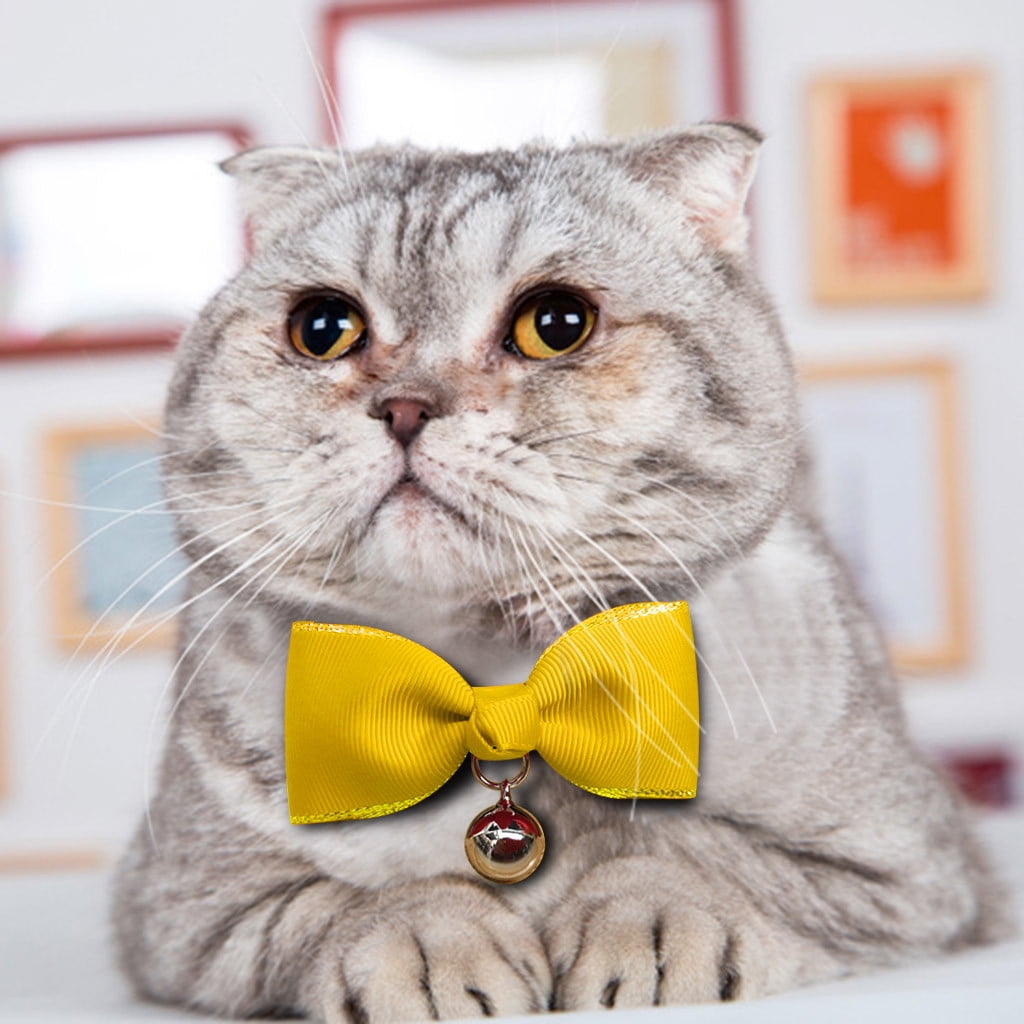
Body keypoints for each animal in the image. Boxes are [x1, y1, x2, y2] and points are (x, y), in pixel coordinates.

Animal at [111, 123, 1008, 1021]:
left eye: (557, 323)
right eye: (324, 326)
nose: (404, 406)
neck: (495, 691)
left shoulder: (915, 867)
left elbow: (699, 854)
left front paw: (648, 920)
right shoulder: (185, 907)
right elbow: (347, 901)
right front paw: (429, 939)